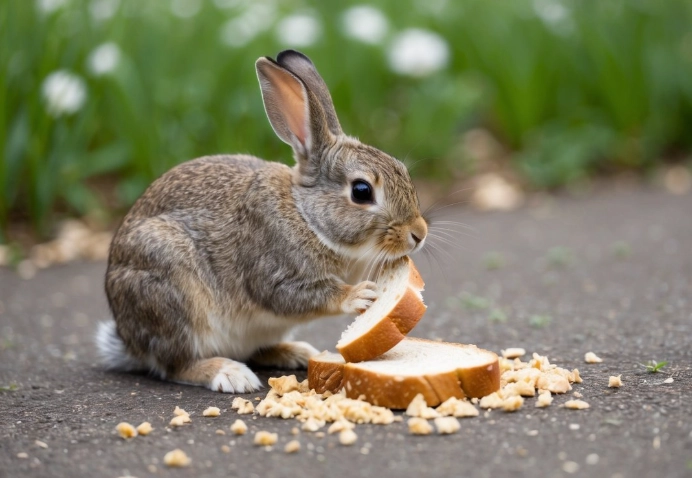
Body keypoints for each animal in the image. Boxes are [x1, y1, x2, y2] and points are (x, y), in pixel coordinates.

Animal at [96, 50, 428, 393]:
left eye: (402, 170)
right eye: (361, 191)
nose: (419, 233)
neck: (307, 217)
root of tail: (129, 344)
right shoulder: (274, 270)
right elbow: (295, 295)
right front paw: (360, 295)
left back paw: (297, 353)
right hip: (171, 294)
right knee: (175, 365)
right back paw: (230, 374)